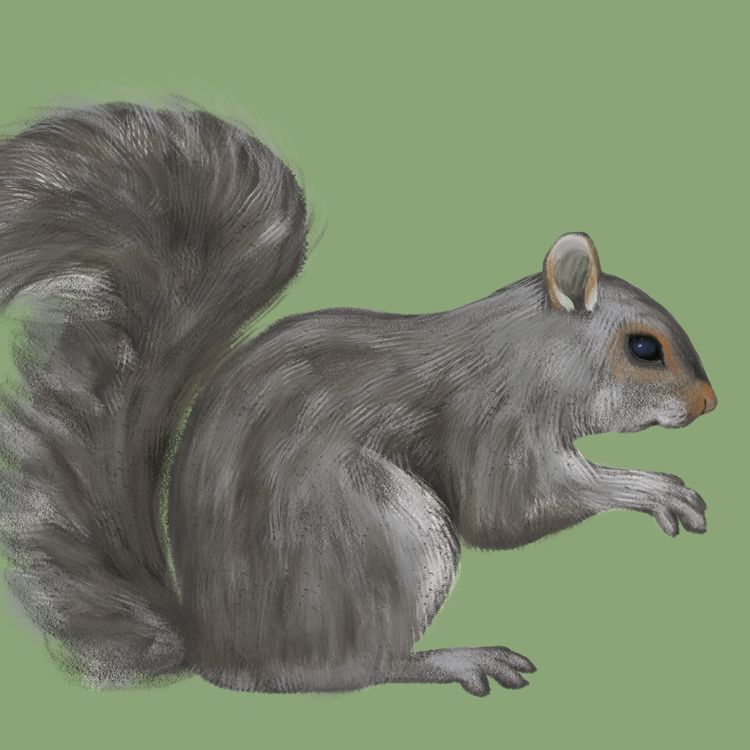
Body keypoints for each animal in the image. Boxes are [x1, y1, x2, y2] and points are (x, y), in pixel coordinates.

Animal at [0, 102, 716, 696]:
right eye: (644, 349)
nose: (709, 403)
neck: (530, 352)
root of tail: (214, 651)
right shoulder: (493, 420)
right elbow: (511, 508)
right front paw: (651, 489)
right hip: (383, 536)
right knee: (359, 669)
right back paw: (454, 660)